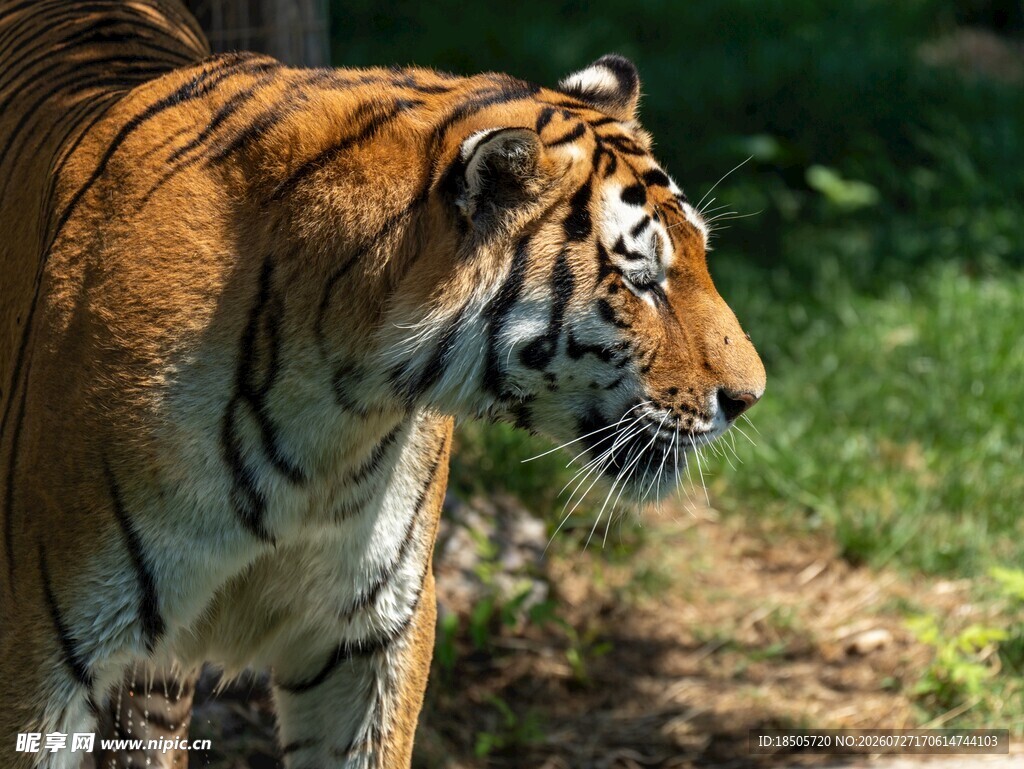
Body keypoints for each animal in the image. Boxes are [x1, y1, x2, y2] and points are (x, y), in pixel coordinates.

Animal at [0, 1, 766, 767]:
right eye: (642, 280)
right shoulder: (42, 649)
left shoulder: (372, 633)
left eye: (699, 255)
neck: (337, 411)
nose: (749, 397)